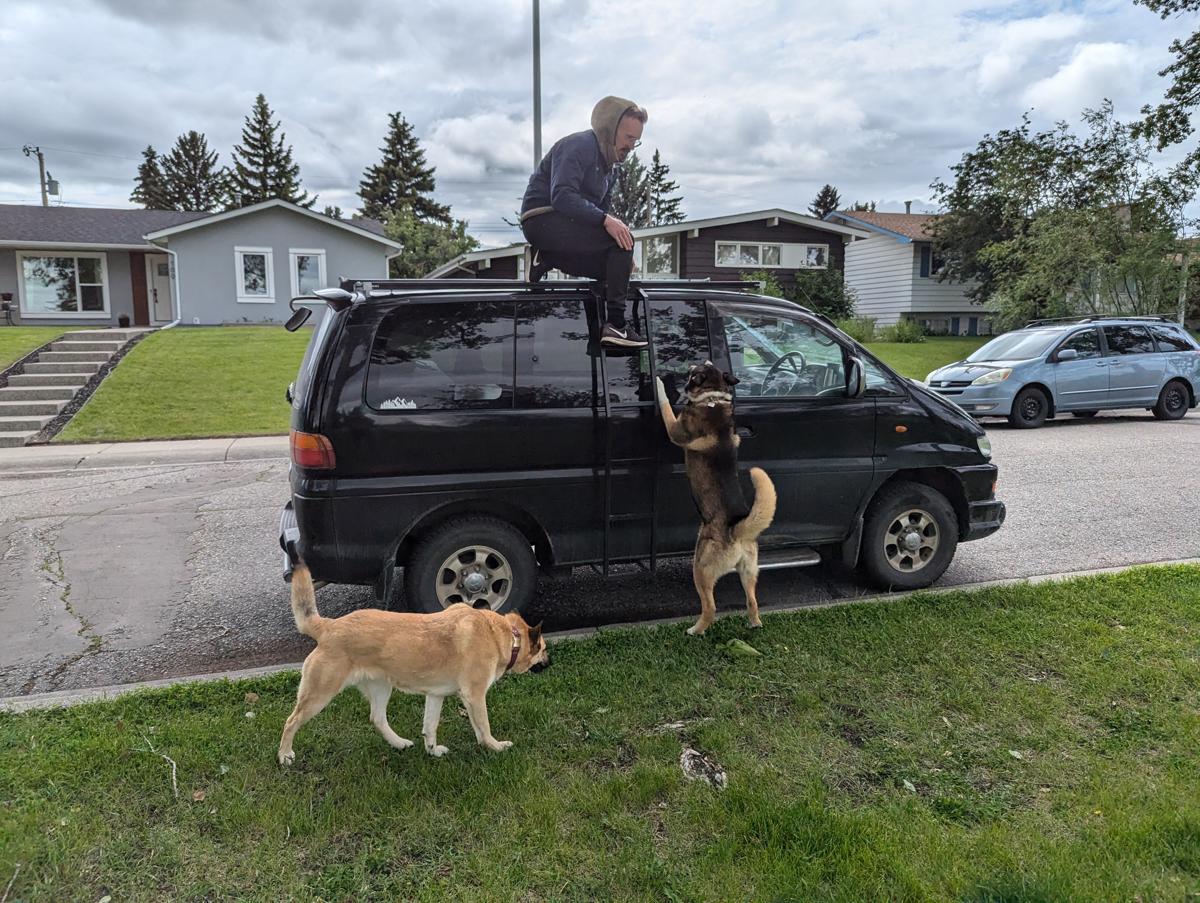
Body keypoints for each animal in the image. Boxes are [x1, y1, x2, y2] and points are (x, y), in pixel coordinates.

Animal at [657, 362, 777, 634]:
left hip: (700, 566)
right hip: (749, 571)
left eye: (693, 375)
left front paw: (657, 382)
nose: (683, 381)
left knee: (710, 607)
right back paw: (754, 624)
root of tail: (737, 530)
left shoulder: (675, 429)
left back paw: (695, 630)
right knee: (752, 602)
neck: (712, 399)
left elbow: (665, 405)